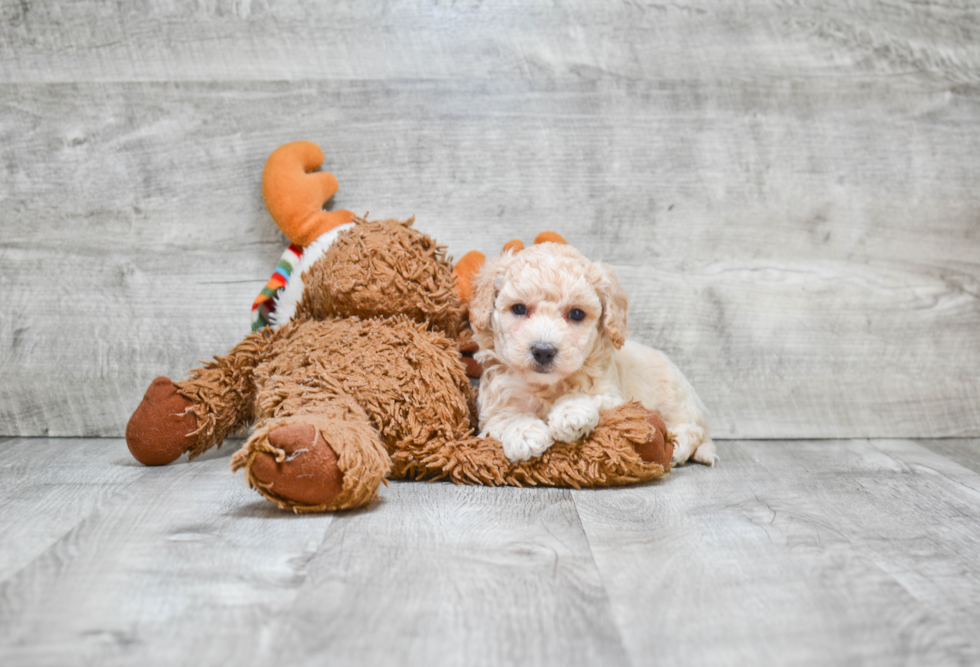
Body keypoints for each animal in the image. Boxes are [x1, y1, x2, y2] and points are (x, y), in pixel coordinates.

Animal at [470, 243, 716, 468]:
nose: (543, 350)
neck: (547, 386)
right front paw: (524, 433)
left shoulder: (615, 397)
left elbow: (590, 397)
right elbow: (505, 417)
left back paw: (677, 448)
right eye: (519, 309)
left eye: (576, 314)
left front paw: (570, 412)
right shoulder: (491, 409)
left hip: (674, 398)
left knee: (693, 429)